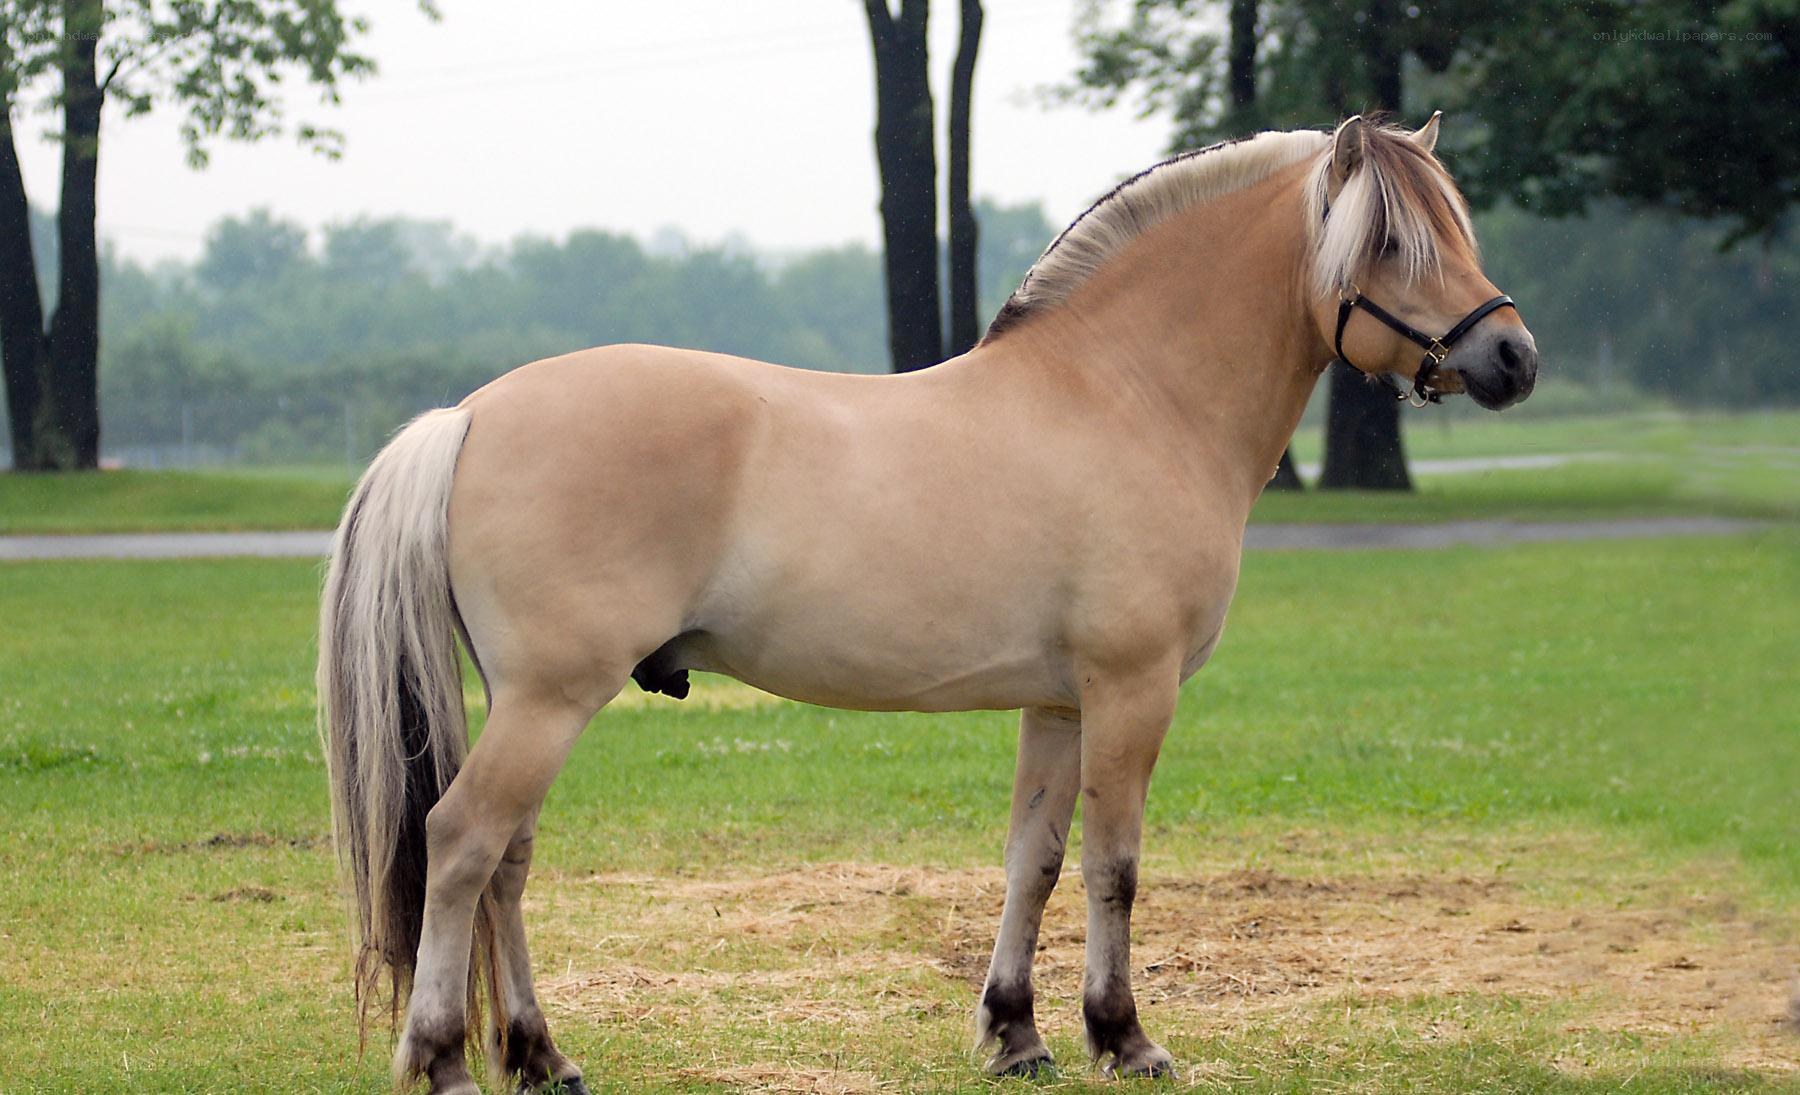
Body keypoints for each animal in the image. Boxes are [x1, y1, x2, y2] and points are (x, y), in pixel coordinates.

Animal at [318, 113, 1538, 1093]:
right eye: (1393, 242)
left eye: (1457, 226)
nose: (1514, 358)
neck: (1130, 397)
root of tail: (469, 416)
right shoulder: (1131, 690)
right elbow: (1114, 864)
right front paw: (1124, 1037)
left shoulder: (1060, 703)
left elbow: (1033, 859)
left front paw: (1017, 1035)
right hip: (548, 700)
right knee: (463, 843)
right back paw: (442, 1060)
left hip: (536, 702)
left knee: (508, 863)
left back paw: (541, 1056)